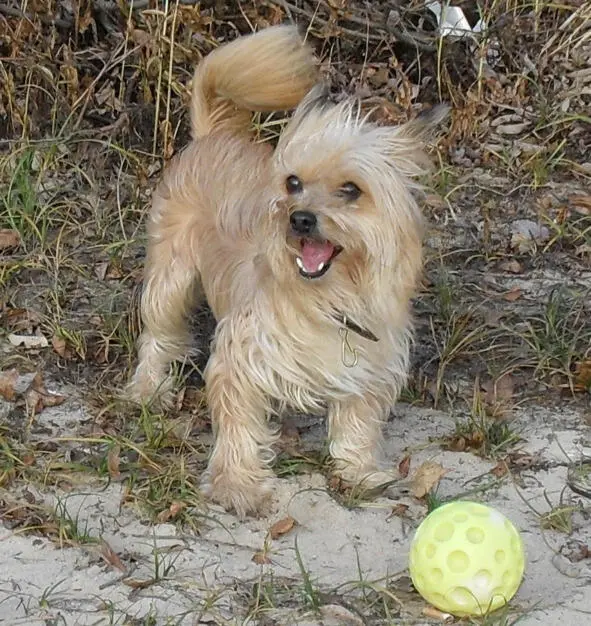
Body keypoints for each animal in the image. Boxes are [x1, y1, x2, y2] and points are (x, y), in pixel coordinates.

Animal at [126, 24, 448, 516]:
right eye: (292, 182)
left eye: (351, 190)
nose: (298, 218)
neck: (326, 299)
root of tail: (212, 135)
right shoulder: (238, 362)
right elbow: (238, 429)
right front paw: (237, 485)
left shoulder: (370, 368)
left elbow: (357, 426)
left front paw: (359, 471)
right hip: (169, 280)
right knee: (158, 336)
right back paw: (149, 389)